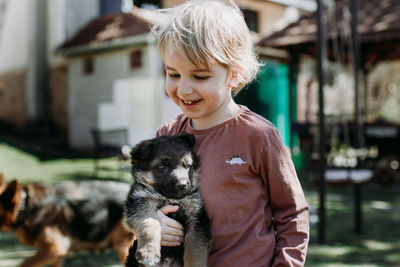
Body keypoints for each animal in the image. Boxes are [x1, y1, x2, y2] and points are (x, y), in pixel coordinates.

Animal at [125, 135, 211, 267]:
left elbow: (195, 250)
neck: (169, 198)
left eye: (187, 166)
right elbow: (149, 225)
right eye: (162, 167)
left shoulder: (197, 216)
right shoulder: (141, 203)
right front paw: (149, 252)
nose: (182, 185)